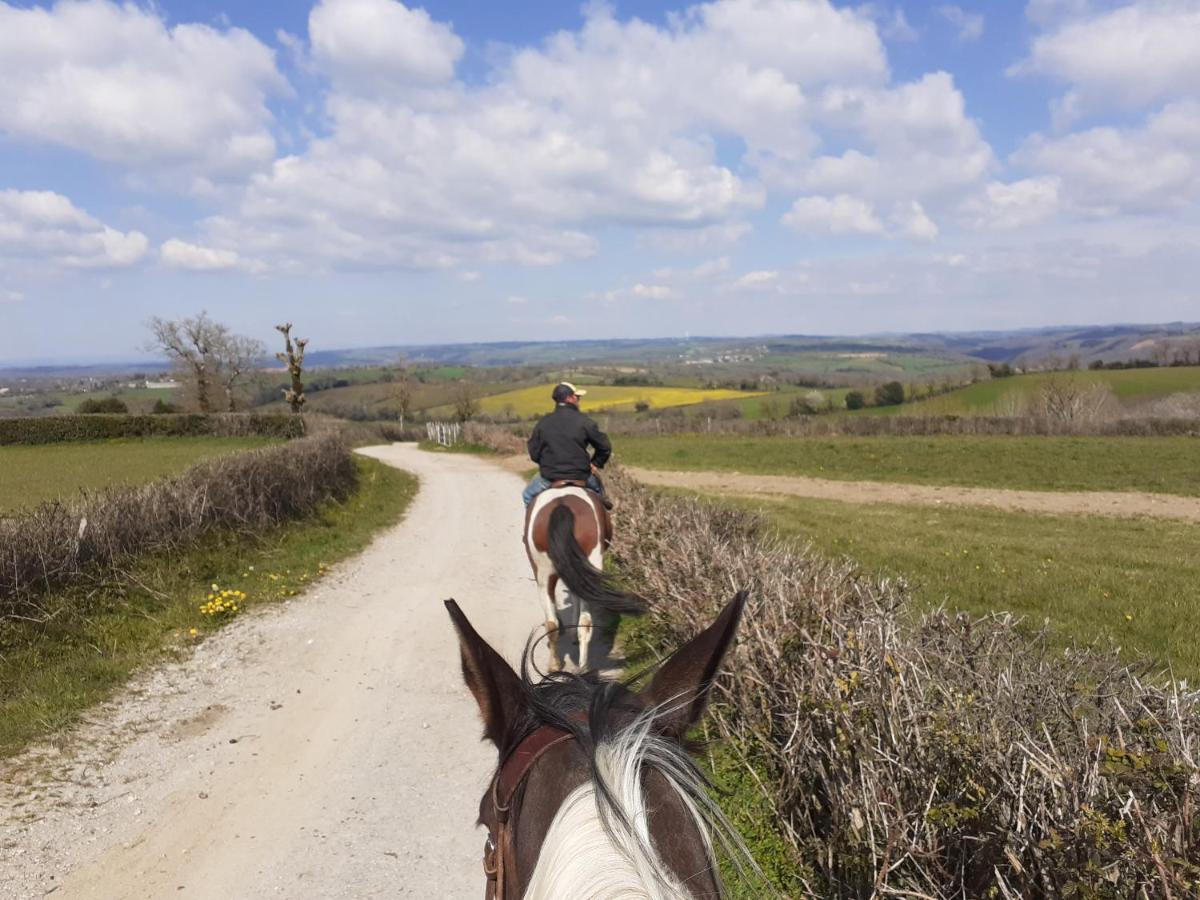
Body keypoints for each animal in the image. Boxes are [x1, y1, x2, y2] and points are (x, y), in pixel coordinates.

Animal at [520, 487, 643, 676]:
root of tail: (562, 505)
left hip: (544, 574)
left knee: (554, 623)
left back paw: (558, 665)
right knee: (581, 622)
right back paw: (582, 667)